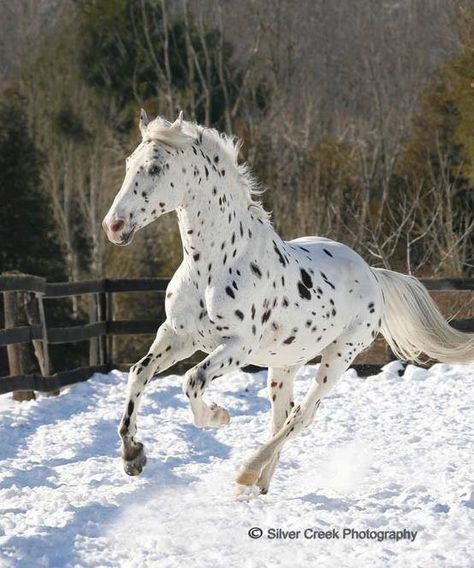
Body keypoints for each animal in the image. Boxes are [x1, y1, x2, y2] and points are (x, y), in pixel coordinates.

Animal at [103, 110, 474, 492]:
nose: (113, 226)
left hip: (339, 356)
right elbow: (139, 372)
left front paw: (218, 416)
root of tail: (372, 273)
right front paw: (132, 456)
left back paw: (247, 471)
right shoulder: (178, 335)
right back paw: (258, 484)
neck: (213, 266)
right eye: (130, 163)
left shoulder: (239, 346)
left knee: (302, 414)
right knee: (282, 415)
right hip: (284, 364)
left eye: (155, 168)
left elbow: (192, 380)